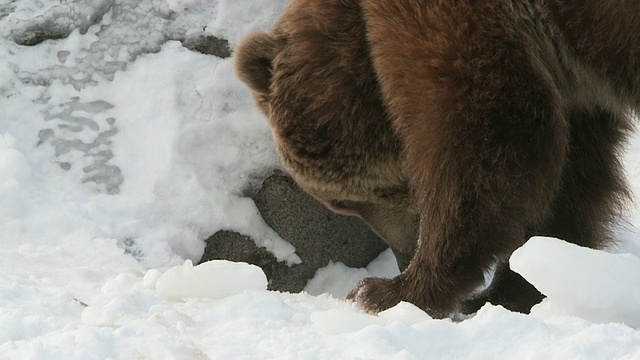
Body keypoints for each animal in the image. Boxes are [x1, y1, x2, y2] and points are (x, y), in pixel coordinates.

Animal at [232, 0, 636, 316]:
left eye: (343, 202)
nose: (402, 255)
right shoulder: (567, 75)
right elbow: (575, 177)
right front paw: (521, 285)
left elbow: (482, 142)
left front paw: (386, 291)